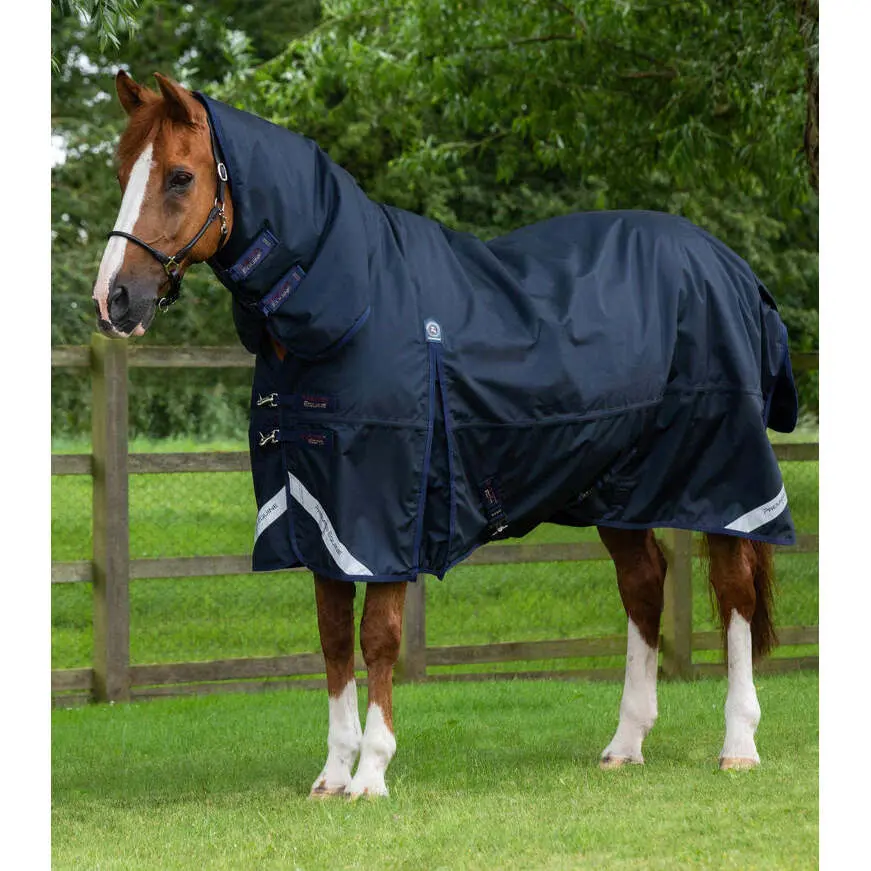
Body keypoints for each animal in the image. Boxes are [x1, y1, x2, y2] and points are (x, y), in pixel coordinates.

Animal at [92, 71, 797, 799]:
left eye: (179, 176)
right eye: (121, 170)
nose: (113, 299)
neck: (352, 301)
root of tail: (732, 268)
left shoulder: (382, 514)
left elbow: (377, 635)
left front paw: (371, 773)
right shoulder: (321, 513)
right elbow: (332, 636)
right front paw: (332, 774)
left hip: (723, 475)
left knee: (734, 592)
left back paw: (738, 744)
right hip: (620, 487)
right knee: (644, 584)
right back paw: (625, 744)